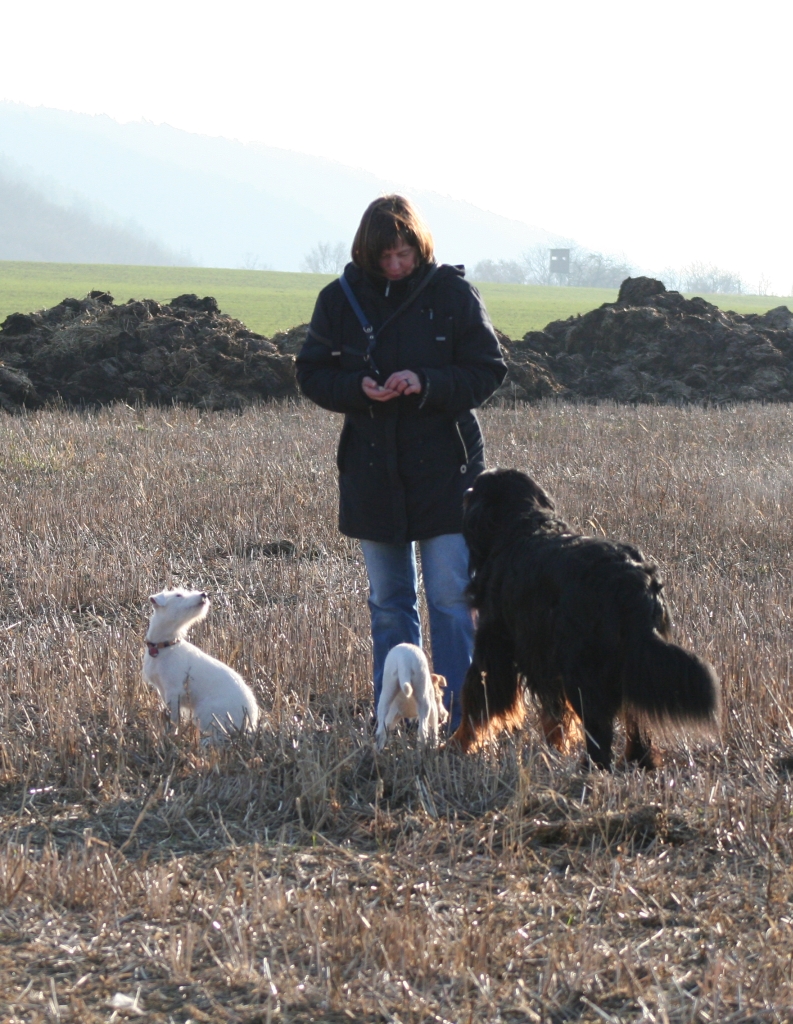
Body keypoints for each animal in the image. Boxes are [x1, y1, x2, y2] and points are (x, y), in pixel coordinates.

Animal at [143, 589, 260, 740]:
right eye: (178, 595)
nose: (204, 594)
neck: (164, 646)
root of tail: (250, 724)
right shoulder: (162, 690)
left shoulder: (174, 692)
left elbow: (174, 719)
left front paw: (171, 735)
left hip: (206, 713)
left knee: (219, 736)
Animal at [452, 469, 719, 769]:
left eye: (477, 487)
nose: (465, 492)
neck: (522, 525)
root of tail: (633, 581)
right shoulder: (544, 658)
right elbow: (554, 712)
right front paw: (557, 746)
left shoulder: (496, 645)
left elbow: (475, 697)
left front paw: (455, 745)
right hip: (631, 663)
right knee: (635, 717)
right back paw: (637, 760)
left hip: (583, 668)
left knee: (599, 727)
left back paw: (591, 768)